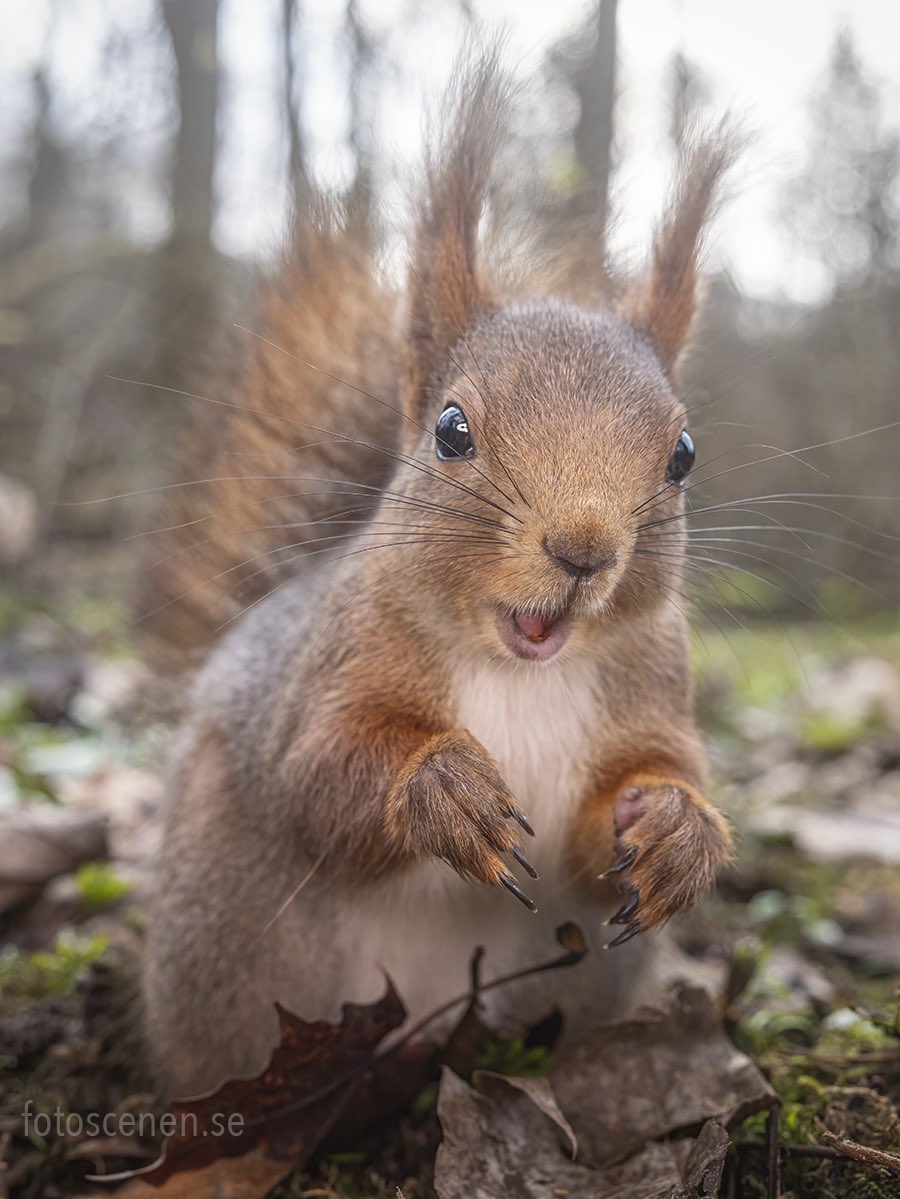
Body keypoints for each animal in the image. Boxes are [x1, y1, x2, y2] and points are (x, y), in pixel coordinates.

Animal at [142, 54, 735, 1100]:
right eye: (452, 430)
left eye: (684, 454)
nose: (583, 550)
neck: (518, 669)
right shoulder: (334, 668)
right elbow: (317, 778)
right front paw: (442, 789)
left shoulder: (655, 692)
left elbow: (622, 808)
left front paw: (676, 826)